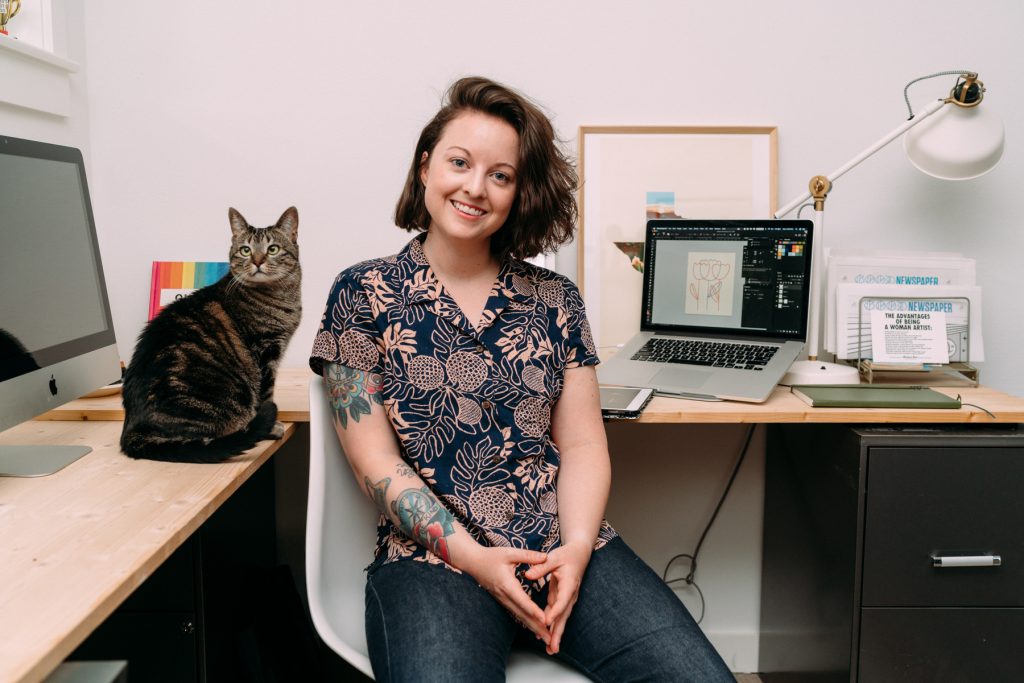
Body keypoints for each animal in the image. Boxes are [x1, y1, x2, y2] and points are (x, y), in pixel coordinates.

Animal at [120, 206, 299, 464]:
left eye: (272, 249)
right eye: (245, 250)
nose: (257, 261)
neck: (281, 296)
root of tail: (132, 430)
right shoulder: (264, 353)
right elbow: (266, 395)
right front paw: (273, 426)